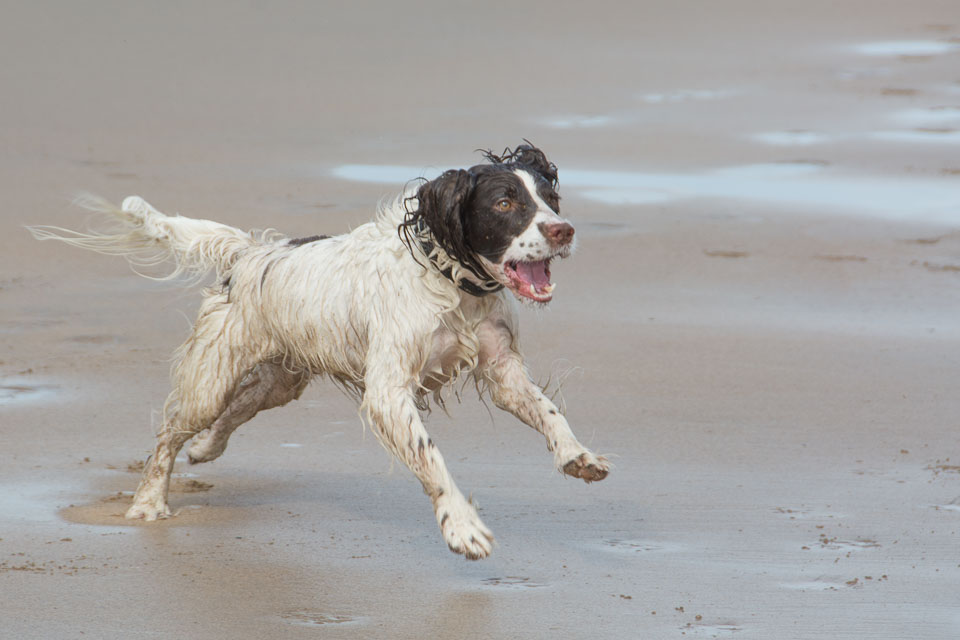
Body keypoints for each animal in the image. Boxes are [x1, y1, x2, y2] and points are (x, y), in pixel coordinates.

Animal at [33, 142, 612, 556]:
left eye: (551, 200)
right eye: (504, 203)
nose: (564, 230)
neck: (450, 284)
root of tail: (249, 253)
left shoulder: (502, 370)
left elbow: (549, 410)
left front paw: (577, 456)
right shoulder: (387, 392)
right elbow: (431, 457)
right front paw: (463, 528)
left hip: (280, 381)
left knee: (234, 413)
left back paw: (205, 449)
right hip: (211, 378)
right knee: (169, 432)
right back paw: (149, 502)